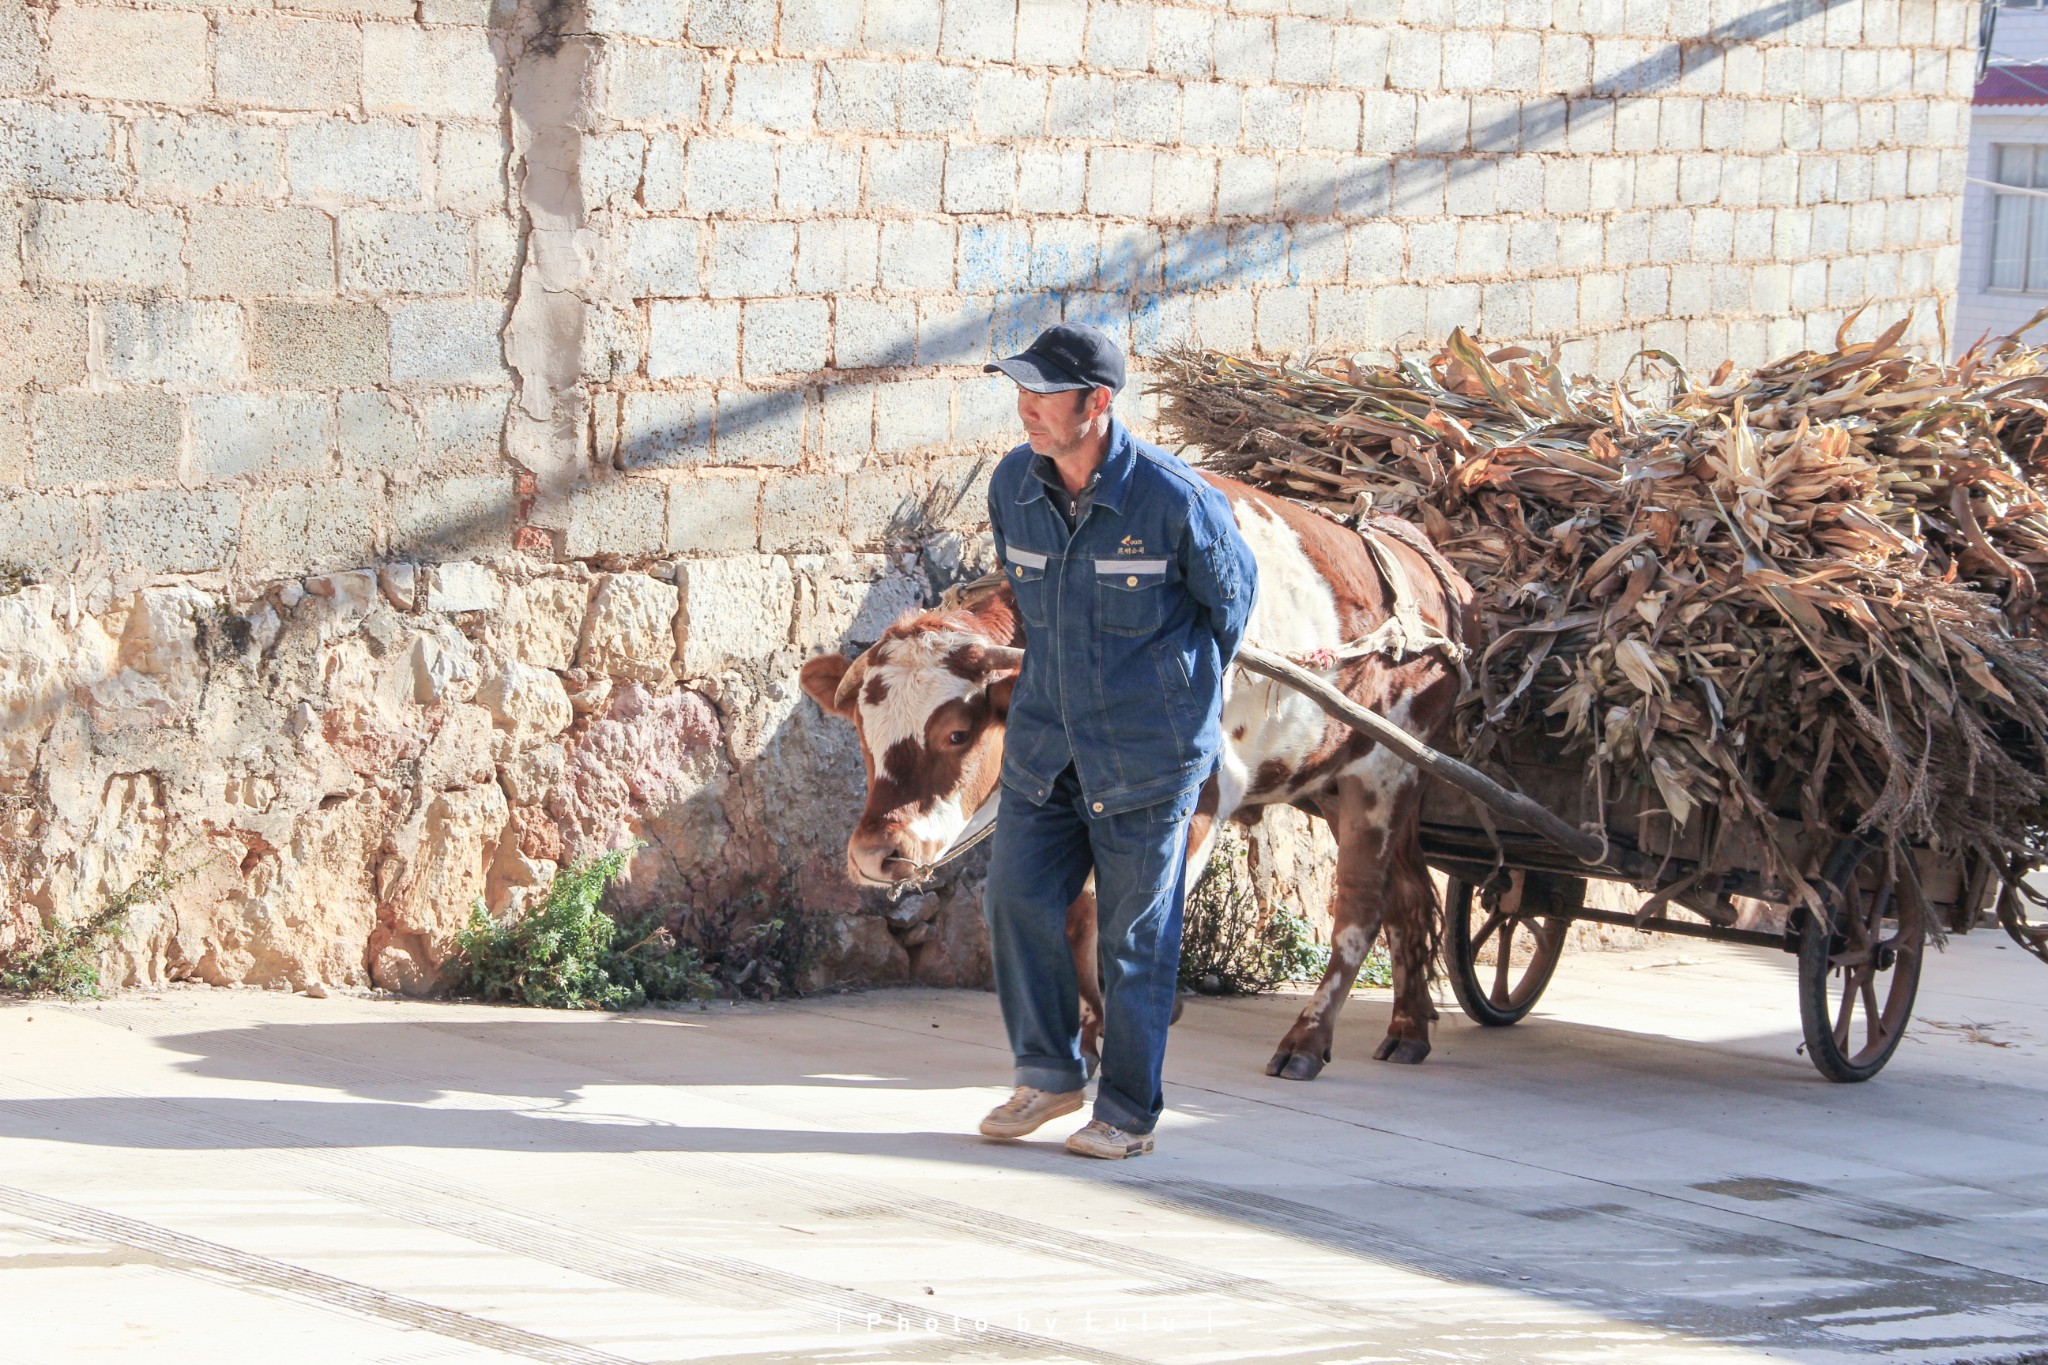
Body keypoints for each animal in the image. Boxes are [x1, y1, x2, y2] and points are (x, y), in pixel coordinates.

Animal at [798, 474, 1474, 1080]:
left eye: (957, 733)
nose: (876, 852)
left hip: (1386, 772)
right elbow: (1077, 915)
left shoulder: (1199, 797)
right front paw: (1090, 1034)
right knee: (1410, 895)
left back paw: (1307, 1040)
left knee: (1360, 909)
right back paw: (1409, 1028)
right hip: (1340, 779)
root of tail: (1433, 563)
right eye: (862, 734)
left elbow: (1127, 916)